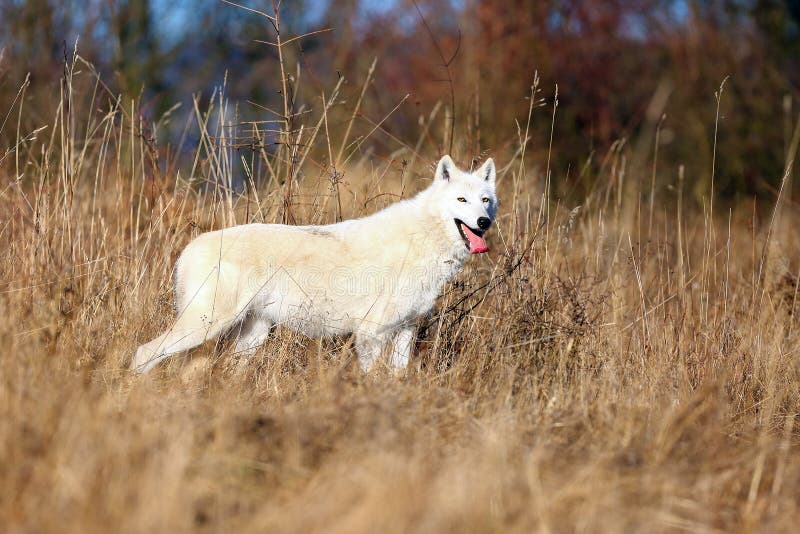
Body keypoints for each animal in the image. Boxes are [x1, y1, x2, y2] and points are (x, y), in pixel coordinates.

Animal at [131, 155, 496, 372]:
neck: (421, 239)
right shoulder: (371, 333)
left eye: (485, 200)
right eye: (461, 200)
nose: (483, 222)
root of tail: (188, 247)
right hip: (205, 326)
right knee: (143, 353)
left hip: (249, 338)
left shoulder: (406, 329)